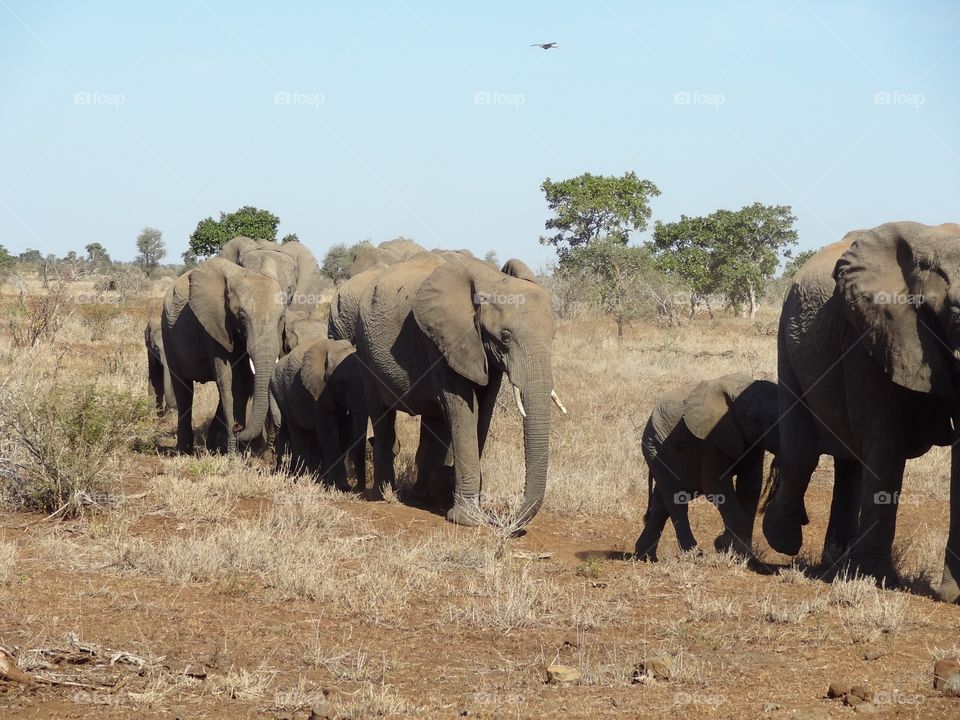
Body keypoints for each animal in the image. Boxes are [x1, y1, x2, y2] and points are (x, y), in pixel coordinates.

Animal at [161, 256, 284, 452]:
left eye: (281, 317)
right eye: (242, 316)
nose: (237, 427)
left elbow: (245, 381)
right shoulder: (215, 325)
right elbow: (229, 379)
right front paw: (233, 453)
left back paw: (212, 447)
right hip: (167, 330)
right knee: (184, 390)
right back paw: (184, 450)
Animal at [270, 338, 368, 490]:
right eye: (342, 383)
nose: (358, 488)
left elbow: (345, 432)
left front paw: (330, 483)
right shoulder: (319, 392)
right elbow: (328, 432)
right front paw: (340, 486)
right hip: (281, 392)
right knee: (290, 429)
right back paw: (295, 475)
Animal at [334, 250, 568, 524]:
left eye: (553, 336)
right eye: (505, 337)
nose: (505, 520)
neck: (490, 280)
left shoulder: (483, 353)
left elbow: (483, 412)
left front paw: (448, 494)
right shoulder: (444, 340)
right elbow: (464, 409)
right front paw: (468, 519)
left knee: (433, 421)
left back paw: (421, 497)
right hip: (364, 350)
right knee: (382, 415)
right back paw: (384, 494)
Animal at [632, 374, 784, 564]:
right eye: (755, 420)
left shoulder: (751, 442)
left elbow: (750, 487)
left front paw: (743, 554)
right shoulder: (711, 437)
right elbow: (716, 486)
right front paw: (724, 546)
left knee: (661, 504)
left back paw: (644, 556)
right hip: (655, 449)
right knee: (676, 501)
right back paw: (694, 555)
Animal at [760, 221, 960, 600]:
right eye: (956, 314)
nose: (947, 594)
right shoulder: (872, 333)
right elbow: (885, 447)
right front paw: (877, 580)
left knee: (849, 462)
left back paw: (836, 562)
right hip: (786, 338)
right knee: (801, 452)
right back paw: (784, 543)